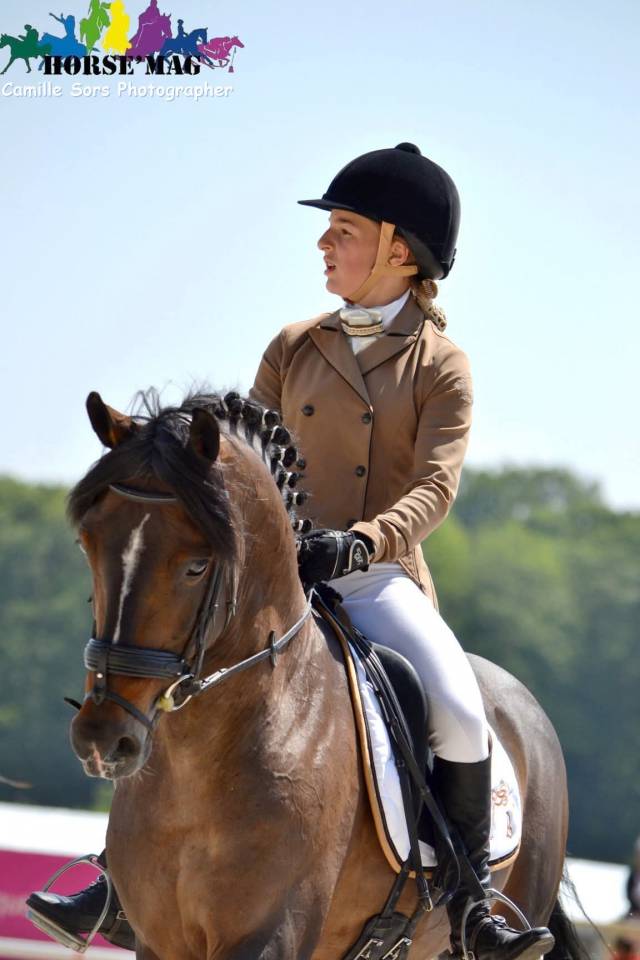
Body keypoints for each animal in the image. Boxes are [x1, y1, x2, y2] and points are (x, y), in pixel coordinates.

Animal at [67, 388, 581, 960]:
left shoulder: (271, 933)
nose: (102, 737)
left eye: (196, 566)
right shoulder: (160, 940)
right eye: (89, 544)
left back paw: (488, 925)